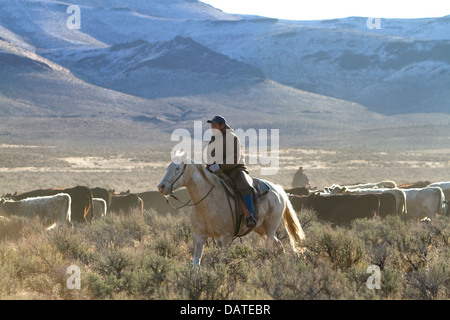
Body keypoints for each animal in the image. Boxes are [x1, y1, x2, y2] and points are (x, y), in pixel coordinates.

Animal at [156, 154, 304, 266]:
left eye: (177, 168)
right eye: (168, 167)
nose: (161, 187)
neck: (207, 202)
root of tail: (278, 190)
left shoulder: (226, 238)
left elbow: (222, 261)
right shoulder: (198, 236)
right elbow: (196, 263)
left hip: (270, 228)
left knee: (268, 248)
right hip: (260, 228)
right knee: (278, 245)